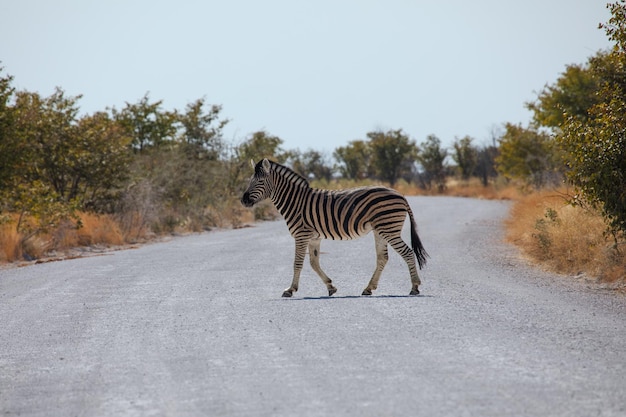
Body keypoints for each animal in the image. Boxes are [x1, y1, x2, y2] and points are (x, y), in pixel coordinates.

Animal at [238, 157, 424, 296]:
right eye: (250, 181)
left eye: (260, 181)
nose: (243, 200)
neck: (296, 202)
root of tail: (400, 195)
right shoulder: (314, 237)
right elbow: (314, 263)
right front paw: (330, 287)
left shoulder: (301, 235)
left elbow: (298, 263)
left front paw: (290, 290)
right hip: (381, 230)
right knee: (383, 258)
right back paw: (368, 288)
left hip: (389, 228)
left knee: (407, 252)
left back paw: (414, 287)